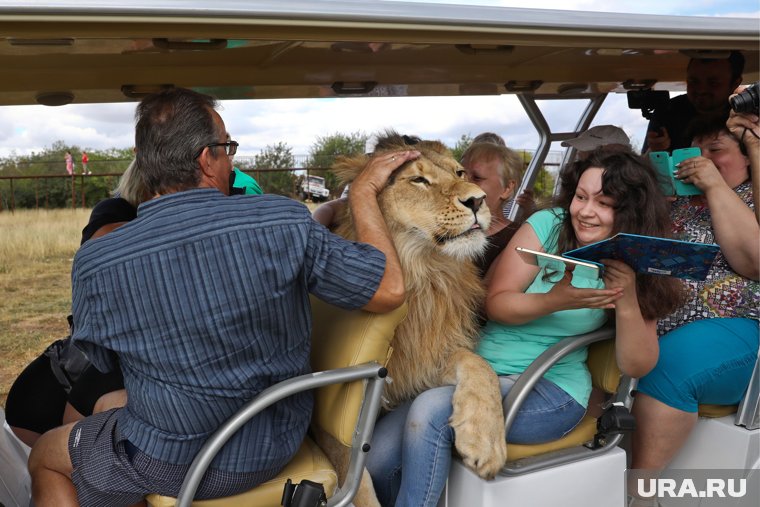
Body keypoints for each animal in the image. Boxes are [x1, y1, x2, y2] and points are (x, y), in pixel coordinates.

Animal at [318, 132, 508, 507]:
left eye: (461, 172)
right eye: (419, 180)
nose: (477, 200)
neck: (423, 275)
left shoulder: (422, 361)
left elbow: (479, 365)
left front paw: (485, 440)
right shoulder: (334, 425)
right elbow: (359, 489)